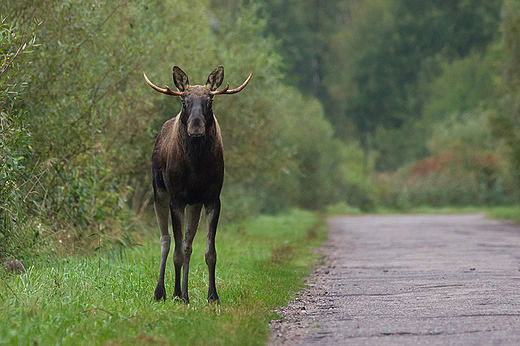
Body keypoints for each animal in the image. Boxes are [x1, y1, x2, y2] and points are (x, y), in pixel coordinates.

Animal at [144, 65, 252, 302]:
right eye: (184, 101)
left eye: (210, 100)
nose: (195, 129)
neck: (196, 165)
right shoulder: (177, 199)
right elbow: (175, 251)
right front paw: (175, 294)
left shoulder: (211, 198)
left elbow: (209, 252)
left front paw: (212, 296)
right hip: (159, 191)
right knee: (165, 239)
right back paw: (161, 292)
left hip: (194, 203)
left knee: (187, 244)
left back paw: (185, 294)